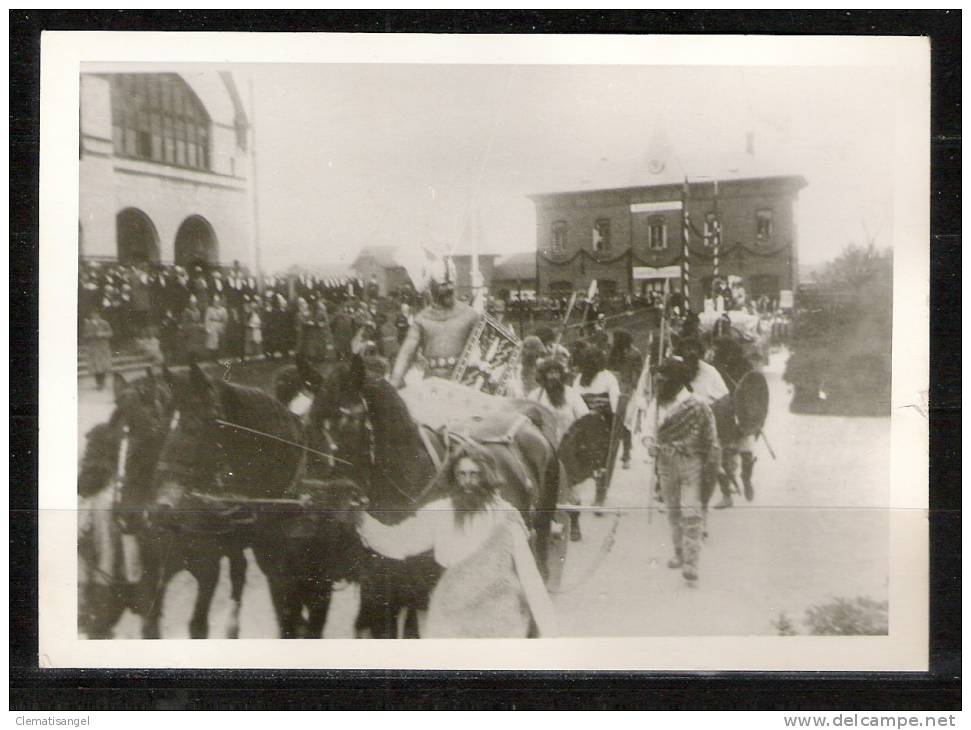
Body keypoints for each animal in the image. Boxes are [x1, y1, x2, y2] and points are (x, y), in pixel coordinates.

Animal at [304, 356, 560, 636]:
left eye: (346, 420)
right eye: (308, 420)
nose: (315, 498)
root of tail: (527, 420)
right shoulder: (381, 591)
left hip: (538, 538)